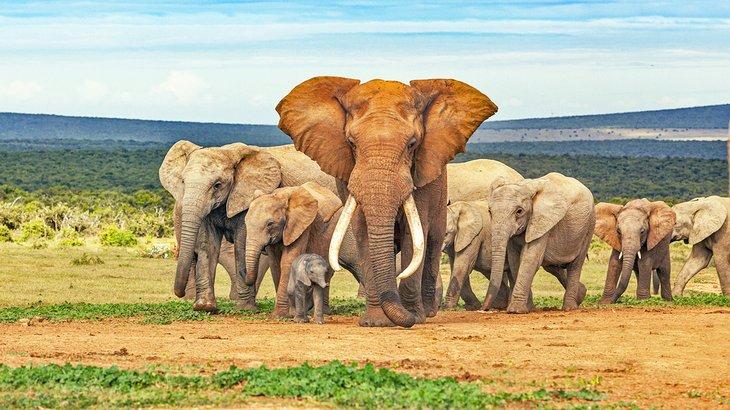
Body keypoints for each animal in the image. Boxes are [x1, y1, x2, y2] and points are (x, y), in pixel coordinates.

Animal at [159, 141, 349, 312]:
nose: (179, 293)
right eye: (183, 182)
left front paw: (244, 308)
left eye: (217, 185)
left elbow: (242, 244)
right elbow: (208, 245)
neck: (227, 152)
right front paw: (205, 307)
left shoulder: (248, 198)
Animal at [244, 181, 362, 317]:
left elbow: (288, 260)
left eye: (270, 224)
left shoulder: (301, 225)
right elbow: (275, 264)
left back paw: (321, 311)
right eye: (245, 222)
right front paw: (287, 313)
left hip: (332, 228)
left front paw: (281, 315)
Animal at [277, 76, 497, 327]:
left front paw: (414, 316)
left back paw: (428, 311)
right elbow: (363, 232)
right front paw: (375, 322)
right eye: (351, 143)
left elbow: (415, 237)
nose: (409, 317)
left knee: (432, 241)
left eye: (412, 144)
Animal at [483, 172, 593, 313]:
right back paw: (581, 294)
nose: (484, 308)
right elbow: (515, 261)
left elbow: (530, 258)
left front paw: (515, 311)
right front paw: (528, 308)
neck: (525, 187)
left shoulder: (543, 221)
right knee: (552, 266)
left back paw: (570, 307)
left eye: (519, 211)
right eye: (490, 211)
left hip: (589, 225)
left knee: (575, 265)